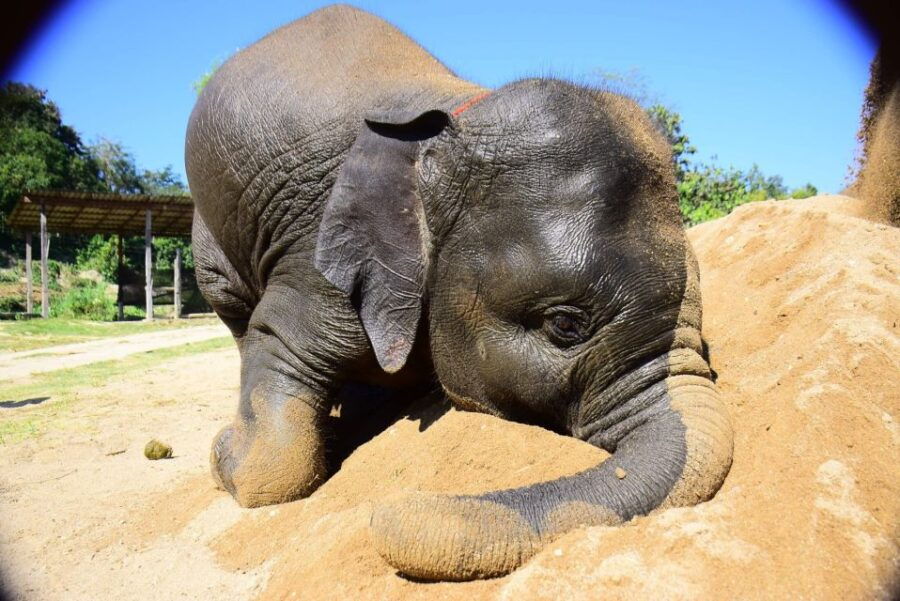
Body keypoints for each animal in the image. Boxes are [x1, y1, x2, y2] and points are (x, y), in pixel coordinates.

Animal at [185, 4, 733, 581]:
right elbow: (274, 418)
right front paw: (225, 458)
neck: (454, 124)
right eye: (565, 325)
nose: (387, 510)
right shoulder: (315, 256)